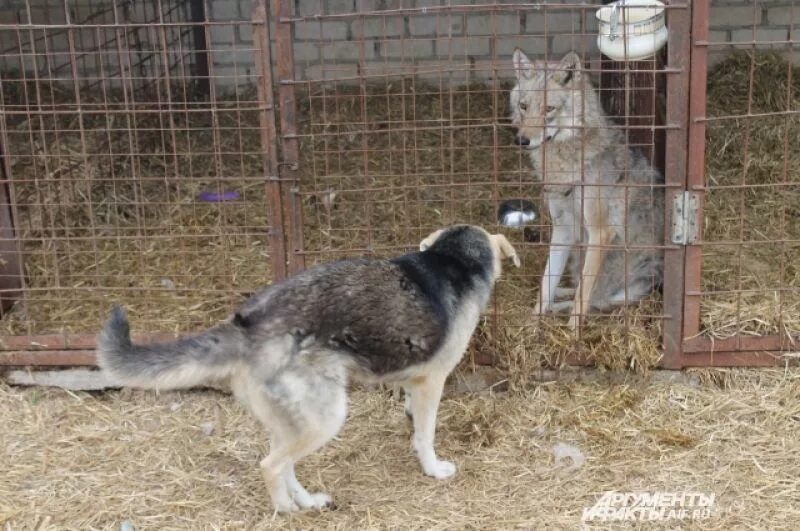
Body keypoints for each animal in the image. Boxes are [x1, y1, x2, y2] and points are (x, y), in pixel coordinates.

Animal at [95, 225, 520, 516]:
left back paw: (307, 501)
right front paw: (433, 469)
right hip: (327, 417)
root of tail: (248, 326)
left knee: (284, 464)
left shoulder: (411, 383)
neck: (452, 260)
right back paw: (286, 510)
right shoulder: (431, 381)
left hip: (293, 421)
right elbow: (426, 435)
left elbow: (412, 420)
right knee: (270, 465)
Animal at [512, 48, 664, 328]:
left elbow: (583, 296)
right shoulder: (563, 228)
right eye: (523, 106)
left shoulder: (600, 232)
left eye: (549, 109)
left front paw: (572, 333)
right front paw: (531, 322)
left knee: (595, 300)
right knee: (574, 288)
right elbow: (546, 283)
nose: (522, 140)